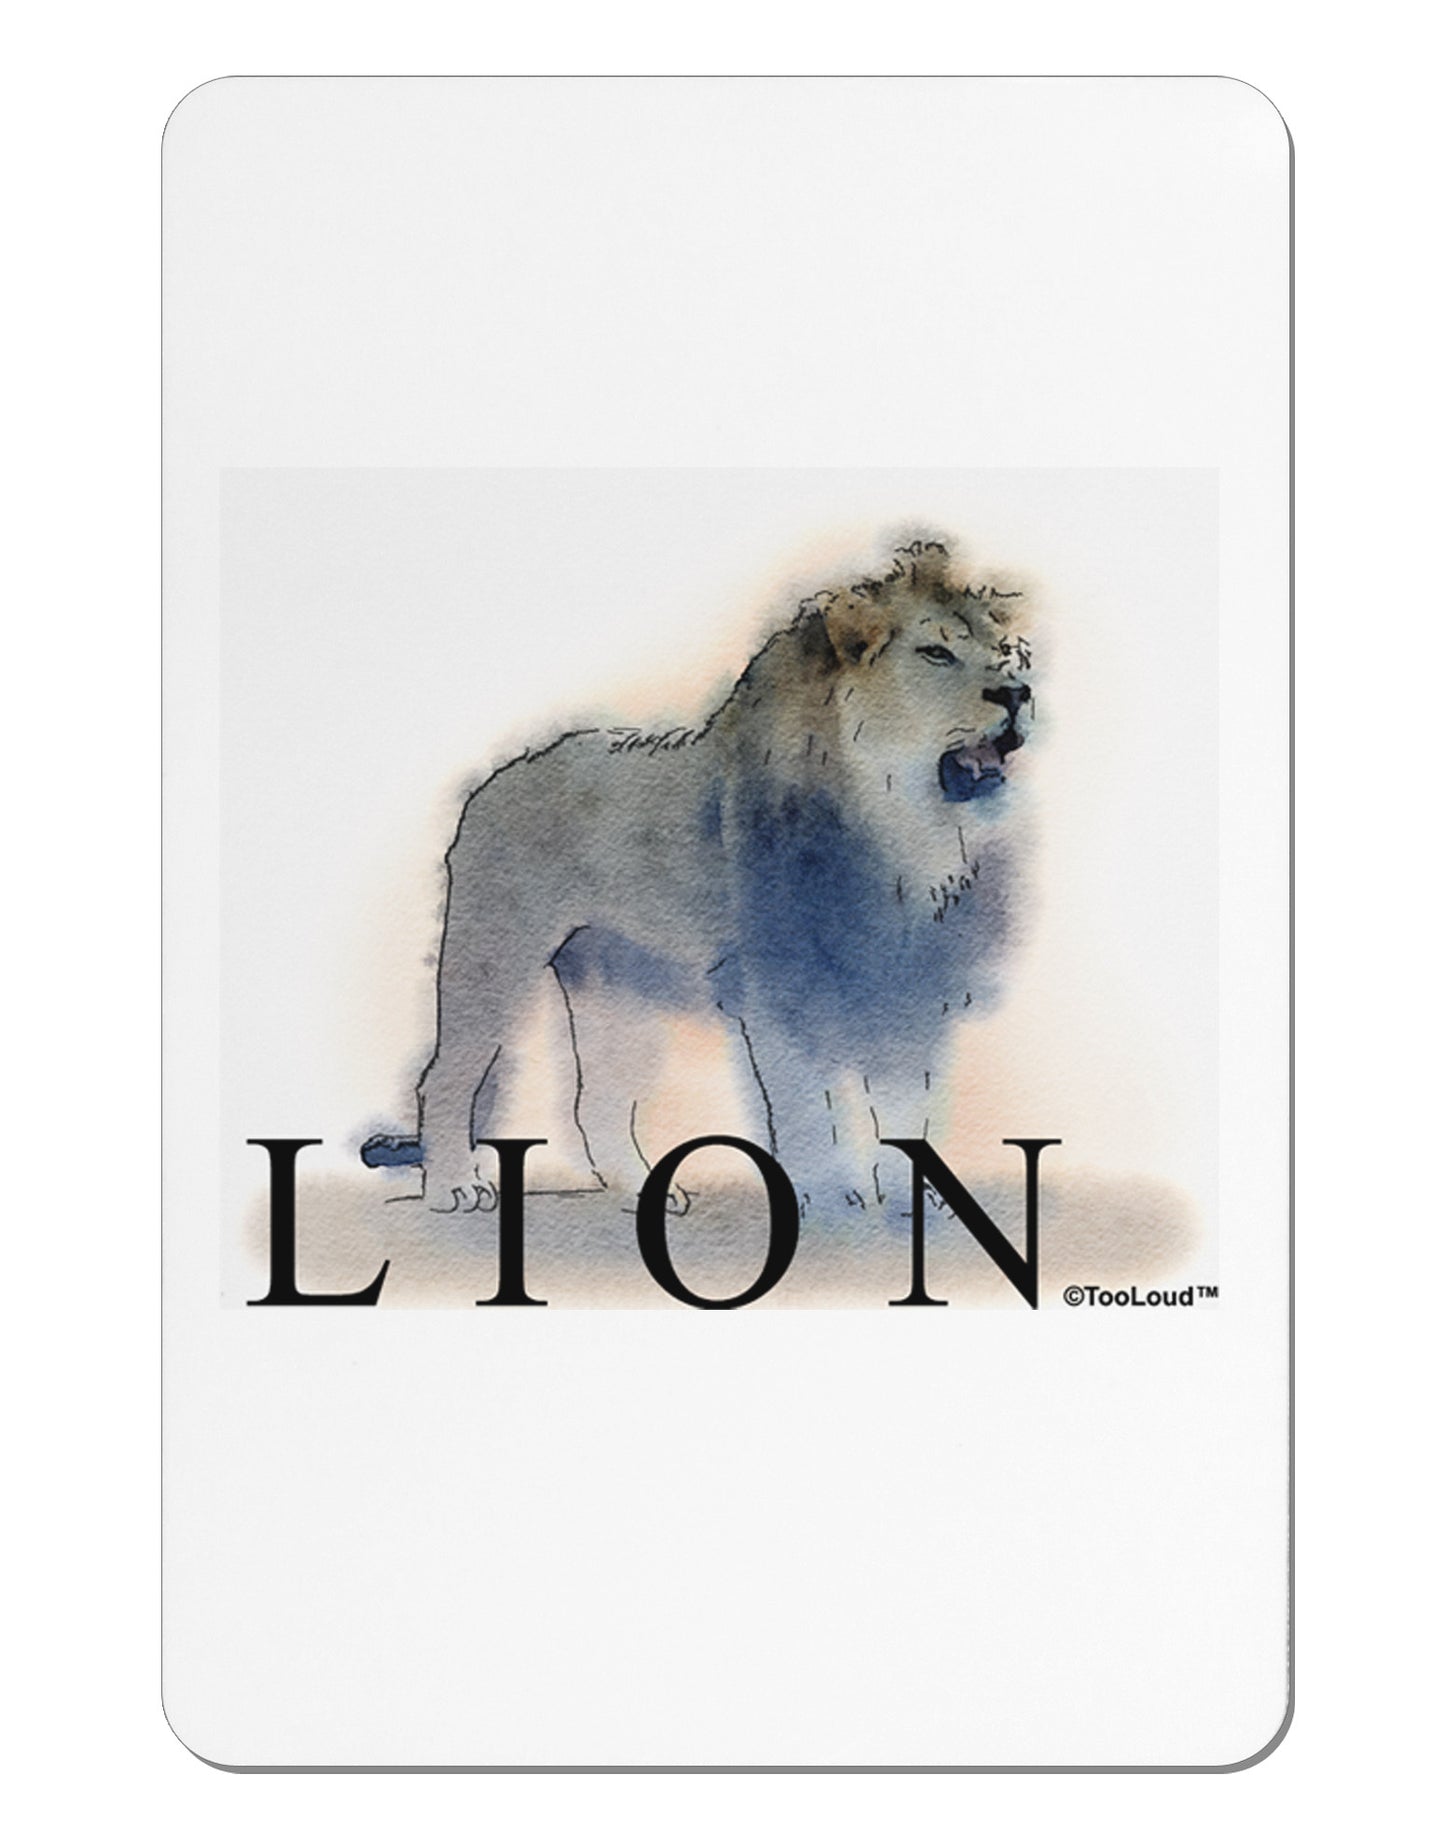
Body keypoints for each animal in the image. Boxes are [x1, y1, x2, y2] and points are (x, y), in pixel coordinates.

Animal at [362, 539, 1033, 1220]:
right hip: (491, 956)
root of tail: (501, 775)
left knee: (597, 1101)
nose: (1018, 694)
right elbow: (806, 1106)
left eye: (999, 655)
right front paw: (826, 1194)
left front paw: (919, 1196)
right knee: (447, 1074)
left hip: (617, 983)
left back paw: (645, 1191)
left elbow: (907, 1099)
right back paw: (453, 1185)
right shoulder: (778, 983)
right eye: (935, 653)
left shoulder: (908, 981)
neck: (897, 821)